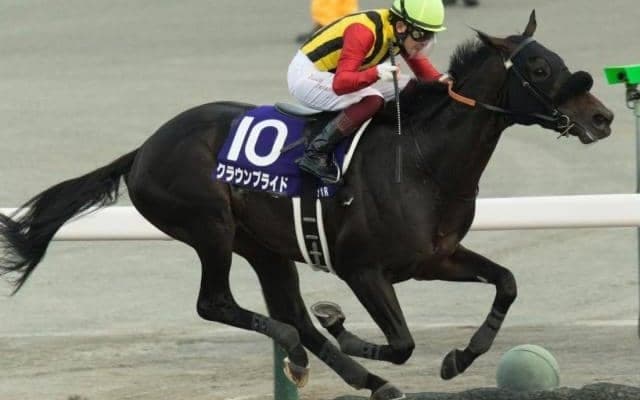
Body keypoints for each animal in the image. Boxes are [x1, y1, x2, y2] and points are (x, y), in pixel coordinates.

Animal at [0, 11, 613, 400]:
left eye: (559, 60)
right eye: (538, 70)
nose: (603, 117)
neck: (422, 161)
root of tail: (144, 149)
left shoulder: (435, 258)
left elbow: (506, 282)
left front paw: (459, 357)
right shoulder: (363, 268)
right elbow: (402, 342)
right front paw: (349, 328)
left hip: (264, 246)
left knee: (290, 313)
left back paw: (354, 373)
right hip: (210, 227)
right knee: (220, 304)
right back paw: (305, 351)